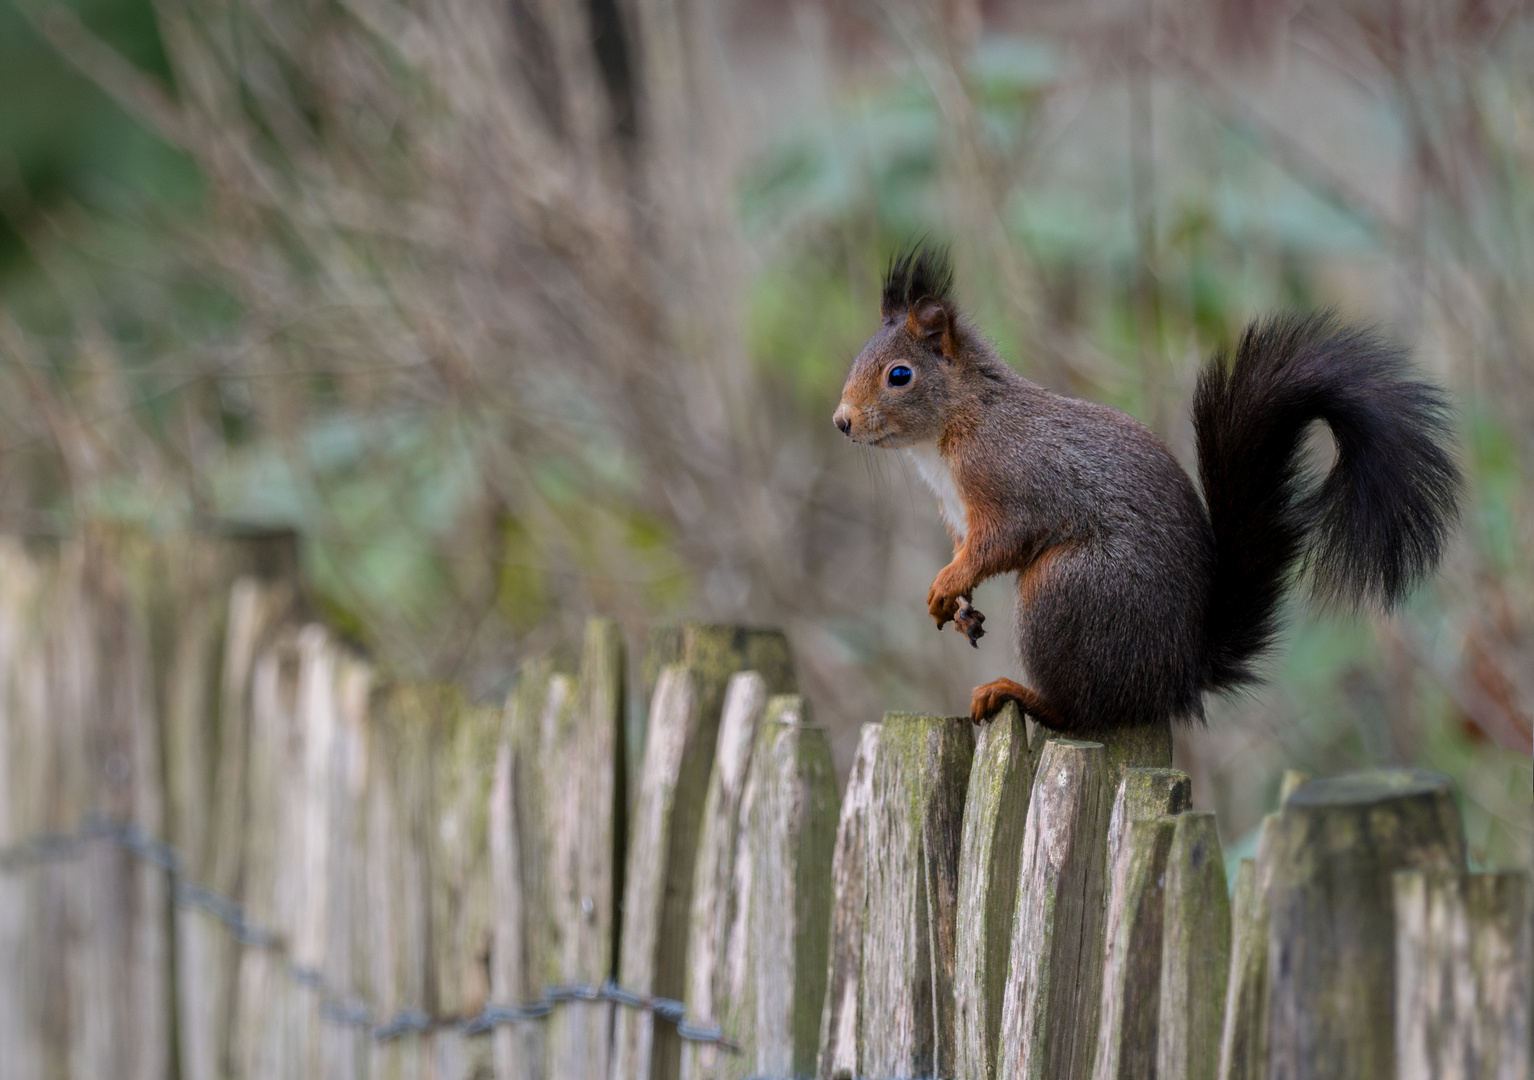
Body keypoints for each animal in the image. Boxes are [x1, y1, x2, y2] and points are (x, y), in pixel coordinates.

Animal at [834, 245, 1454, 730]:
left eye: (899, 376)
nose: (842, 422)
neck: (952, 427)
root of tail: (1177, 678)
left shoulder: (1014, 480)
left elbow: (1001, 541)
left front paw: (947, 583)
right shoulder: (957, 511)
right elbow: (968, 550)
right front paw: (959, 606)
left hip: (1067, 589)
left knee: (1083, 712)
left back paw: (1018, 694)